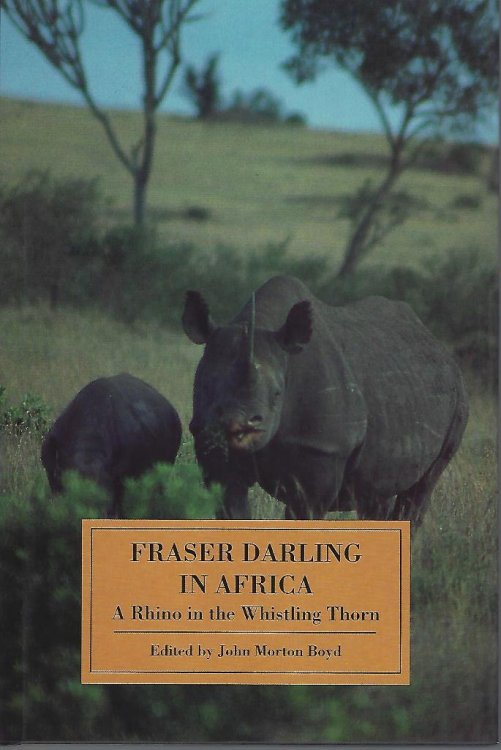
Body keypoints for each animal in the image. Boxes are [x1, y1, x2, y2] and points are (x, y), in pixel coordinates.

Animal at [182, 275, 468, 526]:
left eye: (277, 394)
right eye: (204, 387)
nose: (236, 426)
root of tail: (438, 346)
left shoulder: (321, 454)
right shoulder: (213, 449)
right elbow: (231, 507)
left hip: (459, 400)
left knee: (422, 487)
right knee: (378, 491)